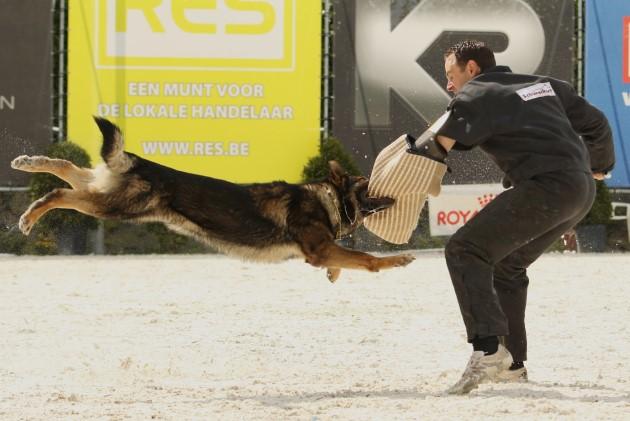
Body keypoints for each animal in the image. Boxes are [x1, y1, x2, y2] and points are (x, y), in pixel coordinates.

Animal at [11, 116, 414, 280]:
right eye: (369, 184)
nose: (395, 193)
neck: (327, 197)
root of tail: (139, 161)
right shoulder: (319, 249)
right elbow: (367, 259)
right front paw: (398, 260)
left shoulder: (322, 250)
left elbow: (348, 260)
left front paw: (334, 272)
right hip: (117, 206)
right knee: (61, 192)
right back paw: (30, 215)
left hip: (108, 192)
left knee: (69, 170)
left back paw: (29, 162)